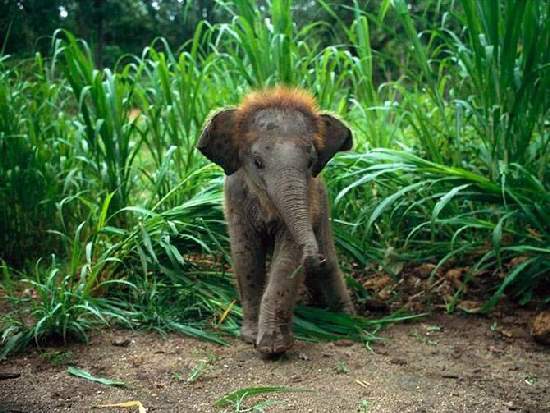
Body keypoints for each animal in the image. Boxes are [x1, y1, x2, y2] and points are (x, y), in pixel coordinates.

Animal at [201, 87, 356, 354]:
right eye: (257, 162)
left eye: (310, 162)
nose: (314, 258)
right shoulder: (235, 197)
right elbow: (246, 255)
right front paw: (251, 338)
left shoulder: (309, 199)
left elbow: (287, 259)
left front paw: (273, 348)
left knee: (330, 263)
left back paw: (348, 321)